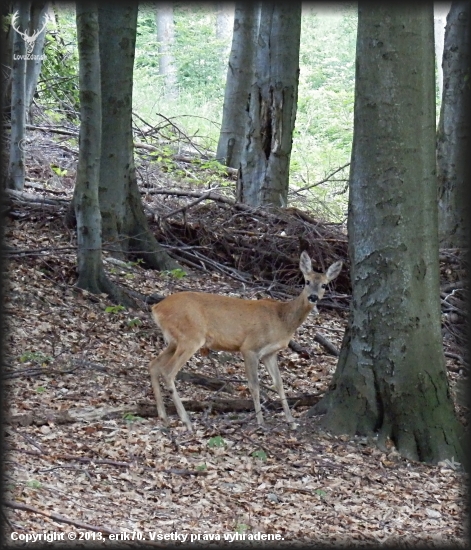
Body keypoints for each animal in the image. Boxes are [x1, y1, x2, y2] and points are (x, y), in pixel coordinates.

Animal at [150, 252, 342, 434]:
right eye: (307, 281)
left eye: (324, 285)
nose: (313, 297)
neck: (282, 320)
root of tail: (156, 308)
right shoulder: (250, 347)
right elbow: (254, 385)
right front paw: (261, 422)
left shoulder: (269, 353)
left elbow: (279, 384)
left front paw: (291, 421)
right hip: (191, 337)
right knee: (168, 371)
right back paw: (186, 421)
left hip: (175, 341)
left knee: (154, 365)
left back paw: (164, 416)